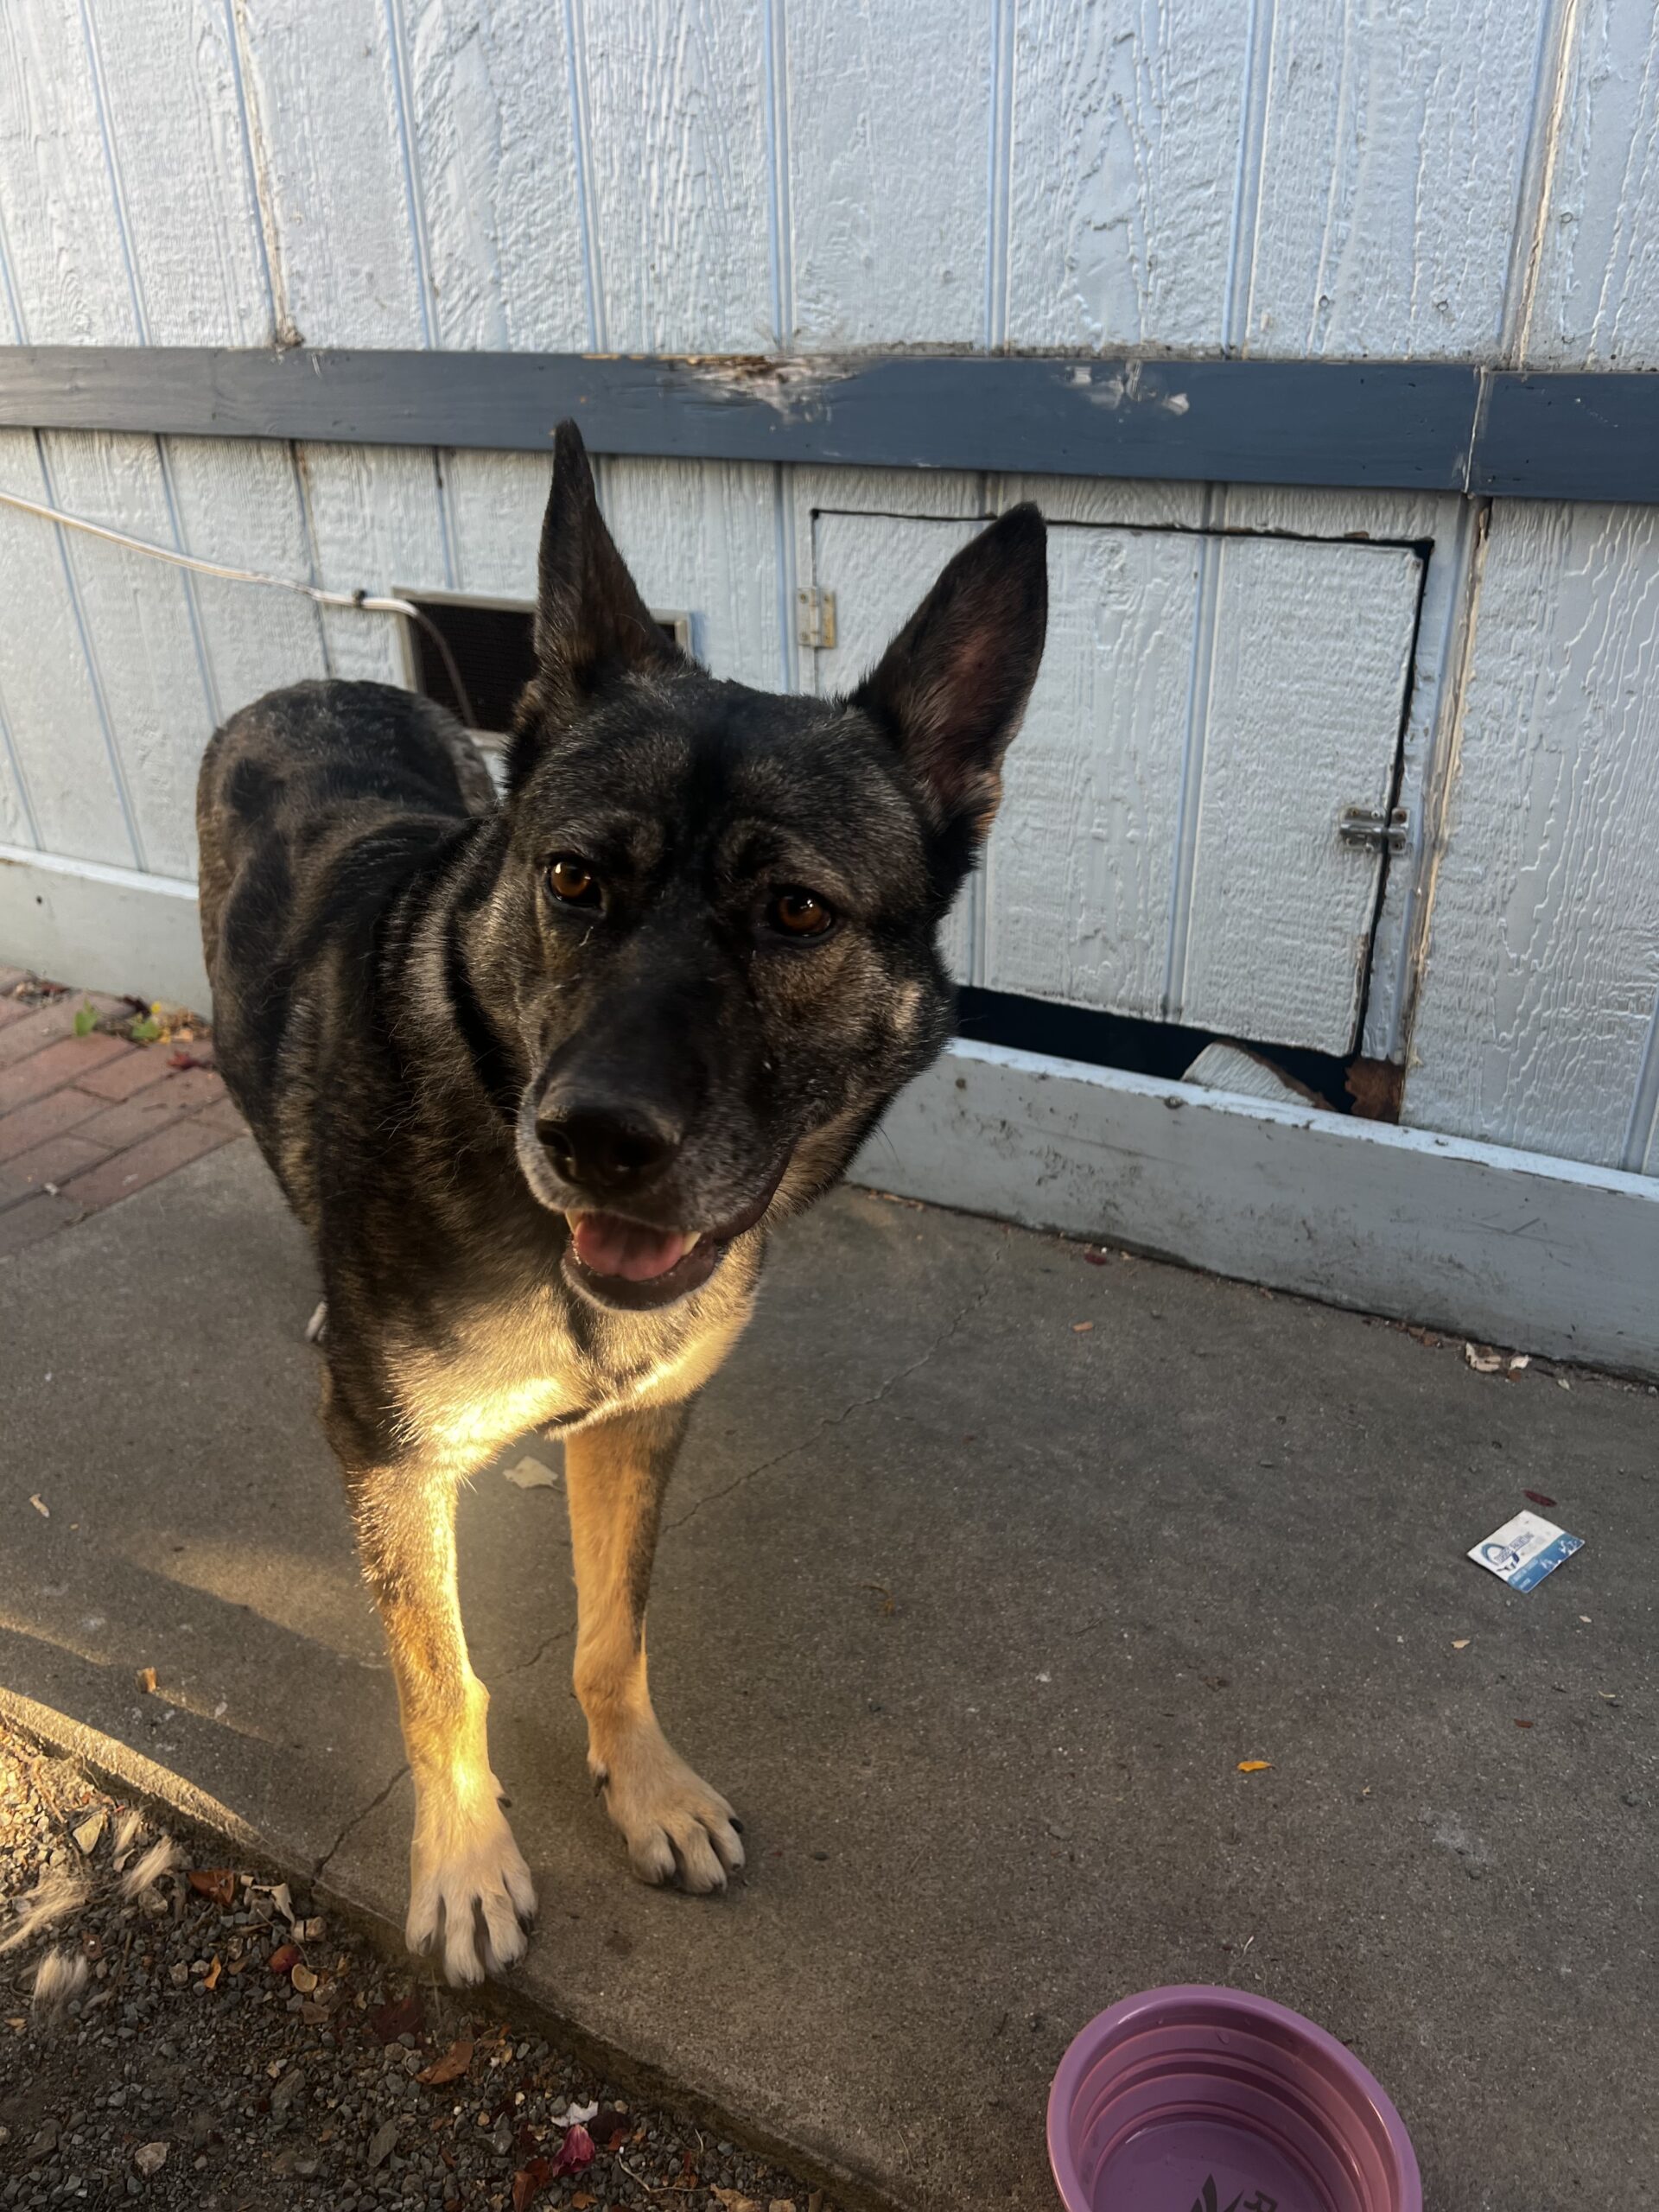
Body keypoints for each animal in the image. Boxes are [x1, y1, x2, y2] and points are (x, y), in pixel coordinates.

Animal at [197, 422, 1046, 1983]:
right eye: (574, 879)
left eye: (798, 913)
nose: (591, 1141)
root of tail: (325, 679)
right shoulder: (392, 1474)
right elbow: (441, 1681)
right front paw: (464, 1861)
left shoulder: (642, 1426)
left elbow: (613, 1637)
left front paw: (643, 1789)